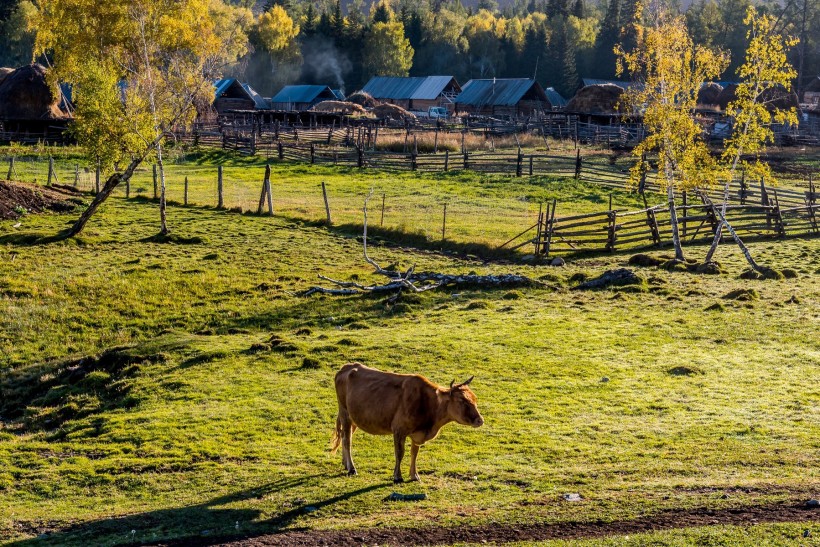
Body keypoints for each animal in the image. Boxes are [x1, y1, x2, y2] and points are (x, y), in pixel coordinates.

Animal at [328, 364, 480, 484]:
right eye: (462, 400)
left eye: (474, 399)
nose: (480, 420)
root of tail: (346, 367)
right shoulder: (399, 430)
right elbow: (400, 453)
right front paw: (397, 476)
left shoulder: (417, 434)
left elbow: (414, 453)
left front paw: (414, 475)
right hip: (344, 413)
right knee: (347, 440)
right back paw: (352, 468)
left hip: (354, 418)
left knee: (344, 436)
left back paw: (345, 464)